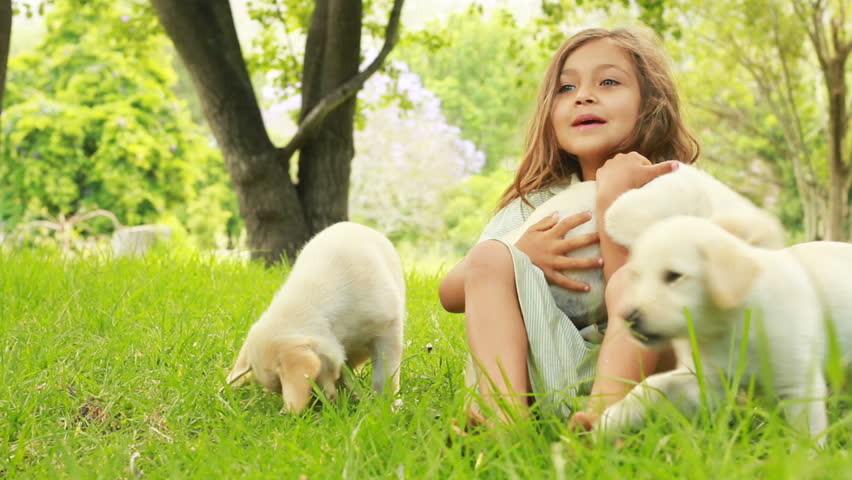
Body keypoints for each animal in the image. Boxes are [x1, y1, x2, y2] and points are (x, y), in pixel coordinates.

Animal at [592, 218, 852, 446]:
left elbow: (806, 434)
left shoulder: (798, 382)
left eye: (673, 276)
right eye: (636, 277)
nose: (628, 317)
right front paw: (610, 422)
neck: (726, 325)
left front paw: (804, 462)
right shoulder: (705, 383)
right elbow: (653, 385)